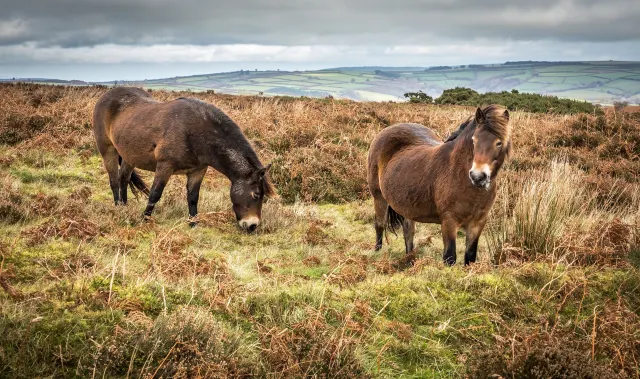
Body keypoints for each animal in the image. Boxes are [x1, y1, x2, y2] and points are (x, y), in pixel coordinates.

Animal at [92, 87, 276, 232]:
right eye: (256, 195)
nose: (252, 226)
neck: (196, 133)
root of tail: (106, 96)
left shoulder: (198, 170)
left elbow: (193, 197)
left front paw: (193, 224)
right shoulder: (165, 167)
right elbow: (155, 194)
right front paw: (144, 219)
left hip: (129, 156)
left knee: (124, 178)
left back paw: (124, 206)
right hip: (108, 150)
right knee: (114, 180)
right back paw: (118, 206)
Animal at [368, 104, 512, 264]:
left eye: (499, 142)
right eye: (474, 140)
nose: (478, 176)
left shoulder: (477, 224)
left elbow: (470, 258)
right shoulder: (449, 221)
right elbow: (449, 257)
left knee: (408, 231)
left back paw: (410, 260)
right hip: (379, 197)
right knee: (379, 225)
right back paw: (377, 253)